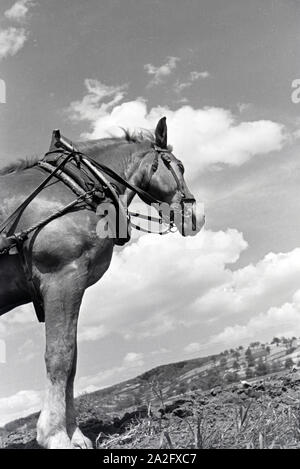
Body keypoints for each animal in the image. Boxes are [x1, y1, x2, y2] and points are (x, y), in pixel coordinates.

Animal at [0, 116, 205, 446]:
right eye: (180, 166)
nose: (196, 216)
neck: (74, 188)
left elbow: (72, 362)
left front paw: (76, 435)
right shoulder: (62, 277)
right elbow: (60, 356)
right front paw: (55, 435)